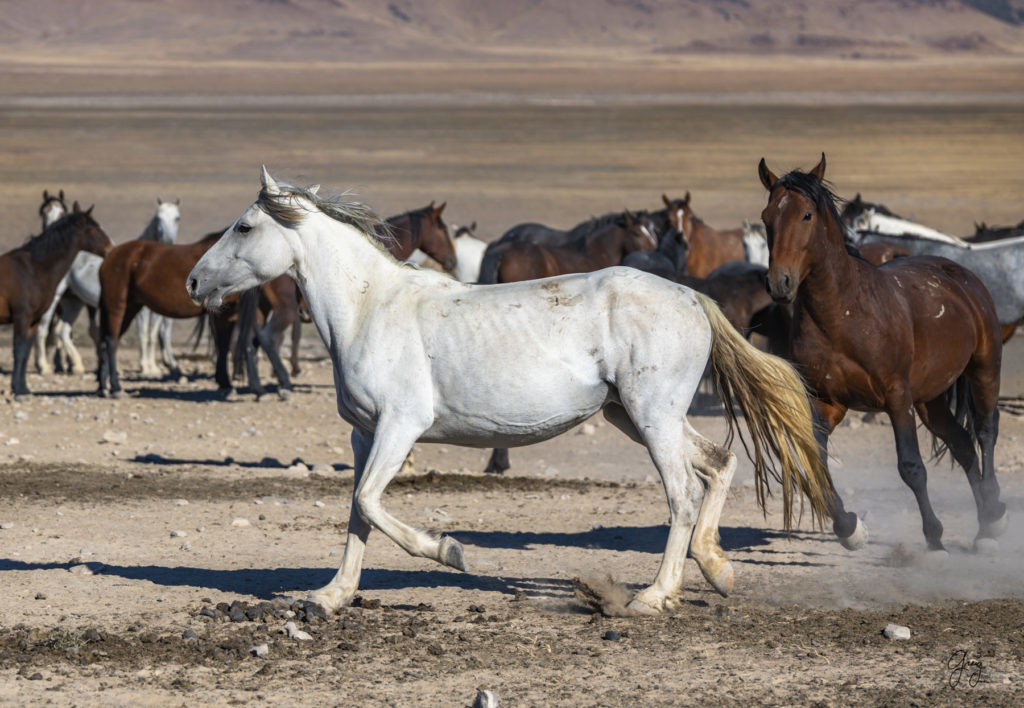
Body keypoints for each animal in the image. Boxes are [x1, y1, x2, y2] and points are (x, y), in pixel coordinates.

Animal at [0, 205, 112, 399]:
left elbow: (25, 352)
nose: (111, 249)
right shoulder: (22, 318)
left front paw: (23, 388)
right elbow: (19, 351)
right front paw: (18, 390)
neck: (33, 269)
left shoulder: (33, 321)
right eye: (93, 229)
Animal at [188, 169, 835, 618]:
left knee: (682, 492)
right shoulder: (364, 433)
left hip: (652, 416)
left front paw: (450, 552)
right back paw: (715, 570)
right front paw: (330, 596)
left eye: (245, 226)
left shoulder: (401, 426)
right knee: (718, 464)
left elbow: (371, 503)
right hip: (636, 415)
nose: (194, 282)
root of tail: (693, 299)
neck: (369, 307)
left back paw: (653, 596)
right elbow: (356, 510)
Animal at [761, 153, 1007, 553]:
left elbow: (911, 466)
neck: (844, 313)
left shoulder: (896, 396)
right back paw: (986, 521)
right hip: (930, 399)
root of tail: (959, 273)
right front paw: (849, 528)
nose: (779, 283)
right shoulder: (827, 402)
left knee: (986, 431)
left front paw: (934, 538)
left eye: (806, 215)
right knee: (963, 444)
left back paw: (992, 521)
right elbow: (815, 461)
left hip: (984, 369)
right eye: (767, 217)